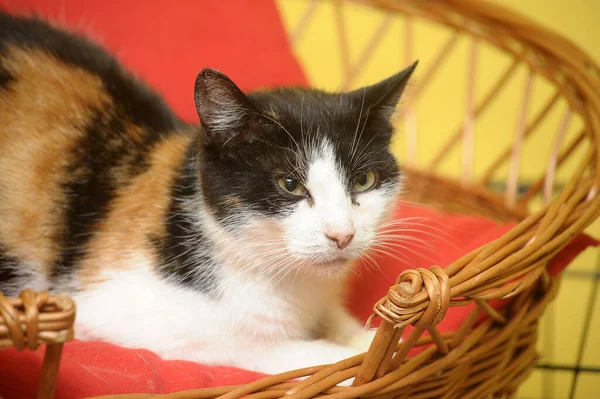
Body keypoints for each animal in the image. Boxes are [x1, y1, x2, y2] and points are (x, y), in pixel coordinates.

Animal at [0, 10, 418, 376]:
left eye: (363, 180)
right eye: (289, 184)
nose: (342, 235)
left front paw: (382, 342)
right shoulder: (108, 309)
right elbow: (260, 345)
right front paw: (359, 359)